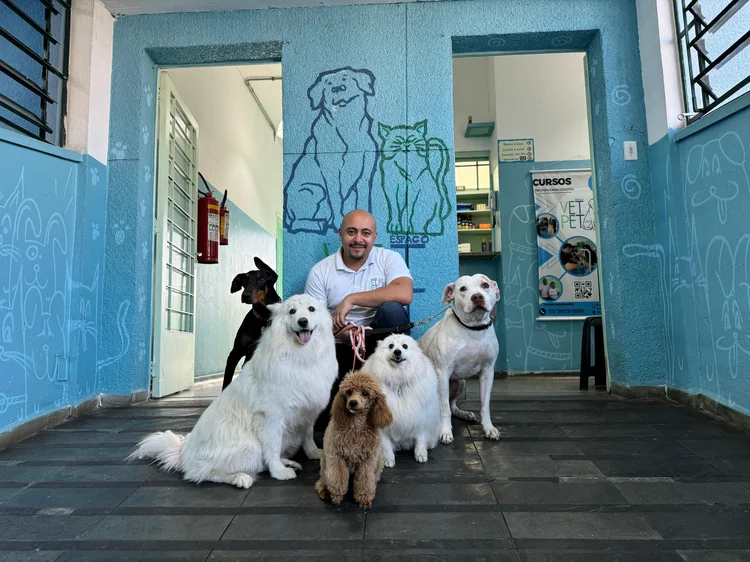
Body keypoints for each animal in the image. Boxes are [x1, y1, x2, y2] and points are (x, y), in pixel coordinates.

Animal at [127, 294, 338, 486]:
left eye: (311, 309)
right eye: (292, 312)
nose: (303, 322)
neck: (301, 355)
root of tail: (183, 453)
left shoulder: (308, 409)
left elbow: (308, 434)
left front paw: (314, 453)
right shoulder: (273, 416)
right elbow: (272, 446)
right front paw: (279, 473)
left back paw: (287, 462)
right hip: (248, 448)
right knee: (202, 473)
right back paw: (241, 478)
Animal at [225, 255, 284, 390]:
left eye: (261, 279)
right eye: (244, 281)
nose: (245, 296)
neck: (263, 318)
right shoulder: (235, 353)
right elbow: (225, 384)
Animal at [362, 332, 440, 464]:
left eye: (405, 346)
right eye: (391, 346)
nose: (397, 352)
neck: (398, 381)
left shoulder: (421, 417)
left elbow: (421, 437)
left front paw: (420, 453)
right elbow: (386, 444)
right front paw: (388, 459)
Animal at [420, 274, 502, 444]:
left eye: (485, 285)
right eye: (463, 289)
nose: (477, 297)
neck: (473, 330)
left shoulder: (487, 372)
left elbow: (485, 405)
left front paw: (489, 428)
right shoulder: (443, 373)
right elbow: (444, 408)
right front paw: (445, 431)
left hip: (460, 383)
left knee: (453, 405)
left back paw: (465, 414)